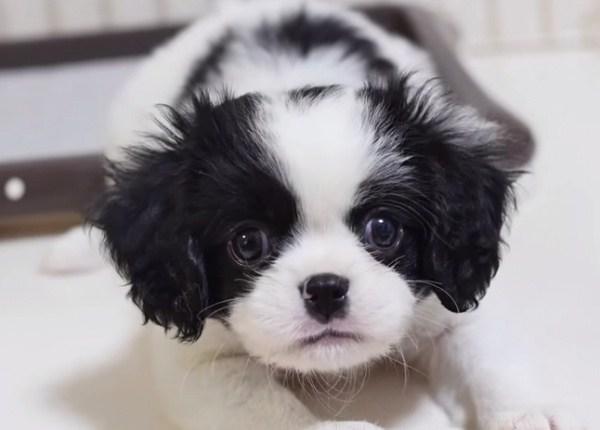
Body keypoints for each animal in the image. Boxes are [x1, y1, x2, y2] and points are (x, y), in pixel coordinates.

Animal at [85, 1, 574, 429]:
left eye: (383, 230)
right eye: (247, 243)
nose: (325, 289)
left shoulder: (451, 305)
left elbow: (484, 356)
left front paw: (522, 415)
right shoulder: (202, 365)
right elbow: (265, 405)